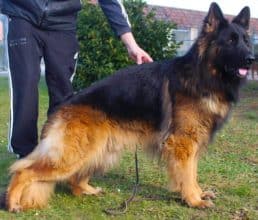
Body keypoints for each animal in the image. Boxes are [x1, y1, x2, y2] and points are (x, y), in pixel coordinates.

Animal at [6, 2, 254, 211]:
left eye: (245, 40)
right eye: (230, 41)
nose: (252, 59)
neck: (203, 75)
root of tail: (63, 105)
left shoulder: (191, 143)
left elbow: (192, 172)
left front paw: (198, 194)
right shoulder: (183, 143)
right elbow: (187, 174)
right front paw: (193, 199)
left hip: (101, 152)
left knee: (74, 178)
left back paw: (86, 190)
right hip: (74, 155)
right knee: (23, 170)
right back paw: (11, 203)